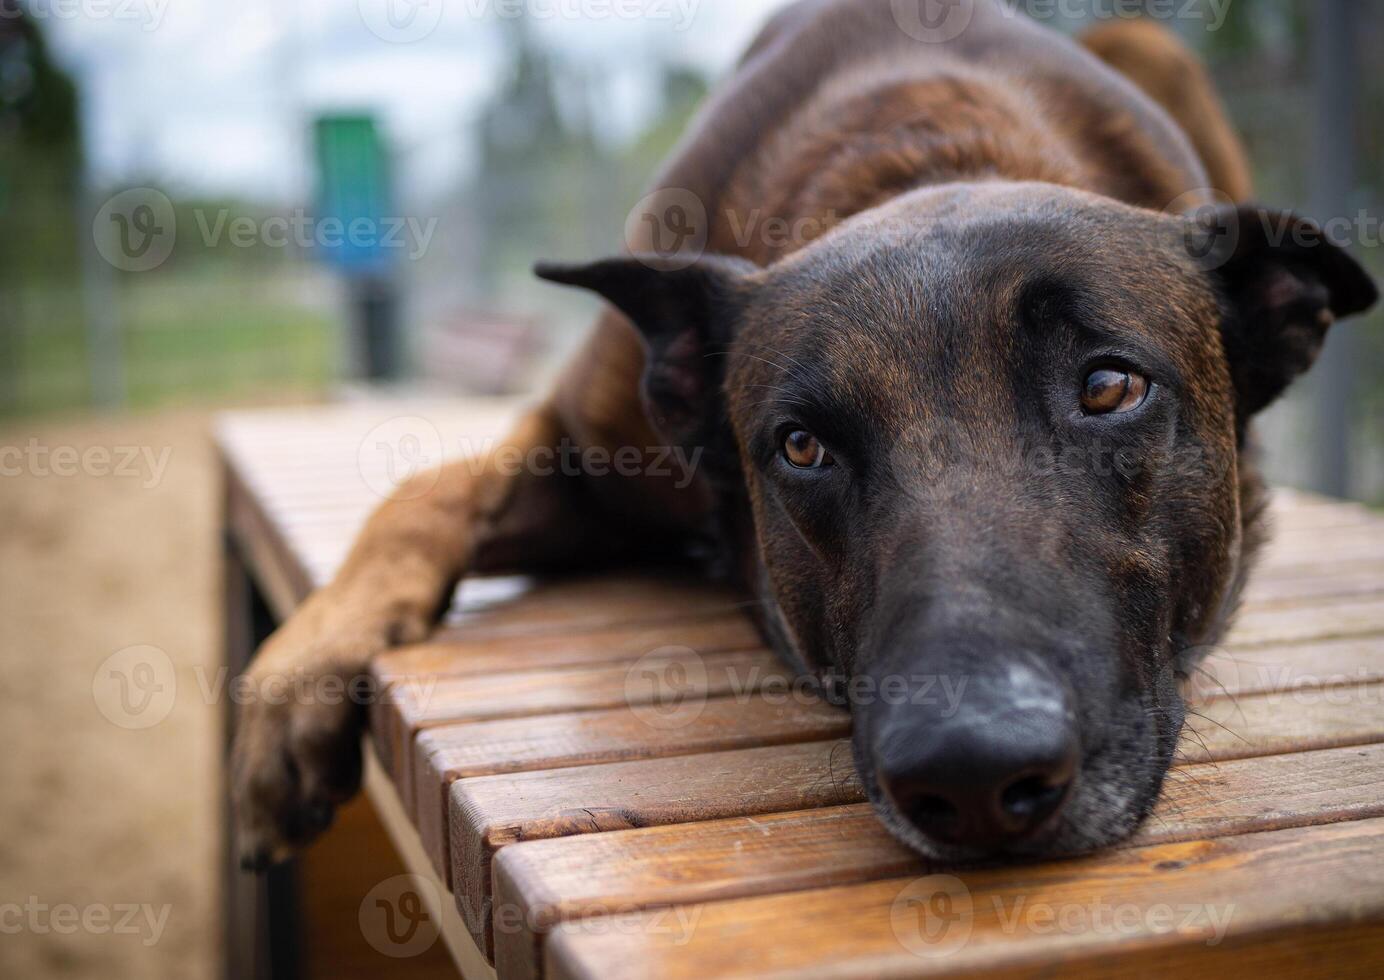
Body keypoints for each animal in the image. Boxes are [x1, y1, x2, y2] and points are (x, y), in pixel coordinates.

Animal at [232, 1, 1378, 874]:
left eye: (1108, 387)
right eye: (800, 446)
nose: (971, 771)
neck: (927, 157)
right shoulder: (586, 452)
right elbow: (415, 495)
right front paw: (292, 687)